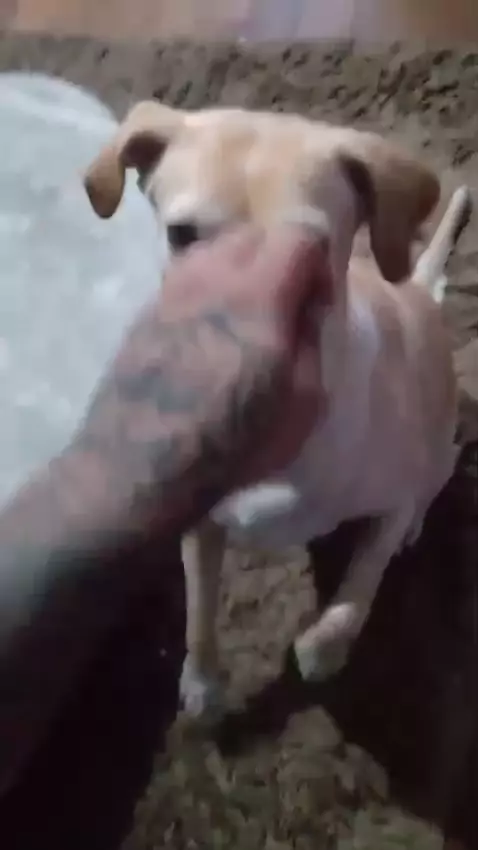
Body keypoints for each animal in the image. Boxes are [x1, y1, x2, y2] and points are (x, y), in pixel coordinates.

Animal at [84, 101, 471, 721]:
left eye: (308, 252)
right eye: (182, 235)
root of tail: (417, 290)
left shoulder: (388, 505)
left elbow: (360, 585)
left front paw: (322, 651)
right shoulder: (199, 526)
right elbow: (199, 612)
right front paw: (202, 683)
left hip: (439, 449)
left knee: (435, 482)